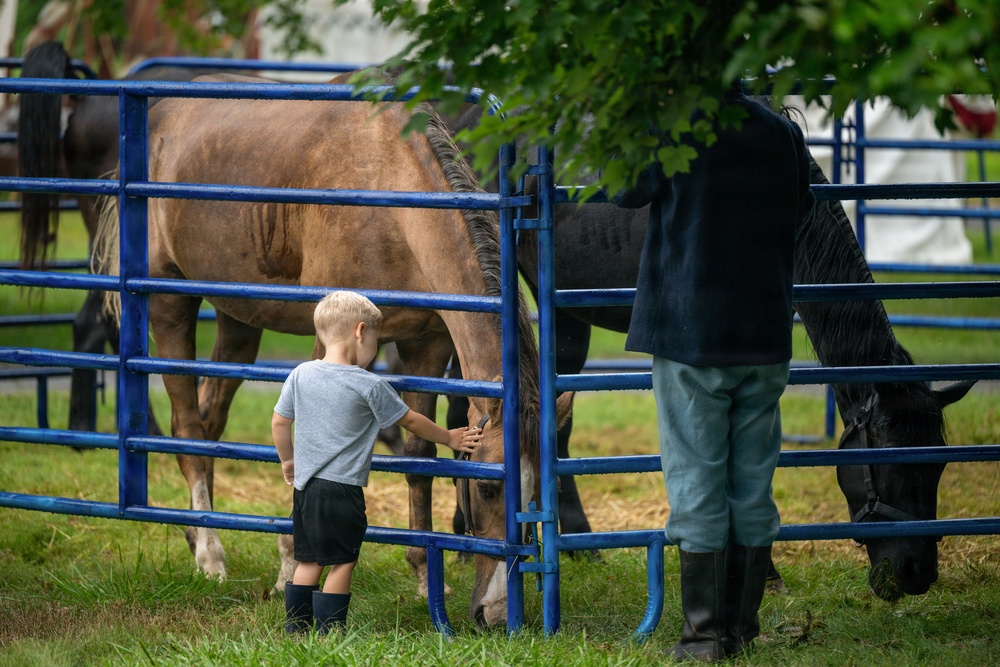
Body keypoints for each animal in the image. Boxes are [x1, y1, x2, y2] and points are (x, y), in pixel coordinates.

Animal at [92, 72, 577, 627]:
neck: (389, 197)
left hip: (238, 319)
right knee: (189, 428)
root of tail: (159, 116)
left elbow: (419, 456)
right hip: (169, 303)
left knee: (208, 425)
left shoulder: (425, 345)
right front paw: (290, 565)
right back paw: (210, 555)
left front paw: (421, 576)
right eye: (489, 488)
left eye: (542, 494)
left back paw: (199, 535)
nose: (494, 615)